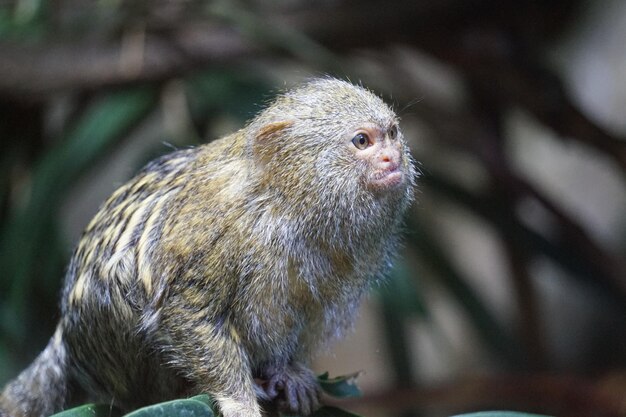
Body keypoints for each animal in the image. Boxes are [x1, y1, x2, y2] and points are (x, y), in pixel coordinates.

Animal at [1, 78, 414, 416]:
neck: (286, 203)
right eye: (362, 141)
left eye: (393, 134)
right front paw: (239, 401)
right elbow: (186, 309)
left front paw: (286, 371)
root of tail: (65, 340)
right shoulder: (216, 233)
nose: (392, 157)